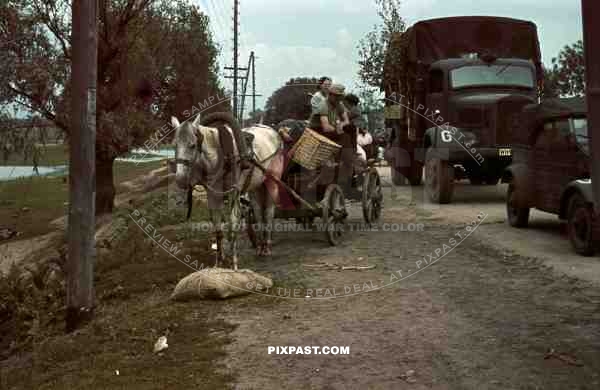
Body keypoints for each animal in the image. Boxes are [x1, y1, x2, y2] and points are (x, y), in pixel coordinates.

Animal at [172, 111, 284, 270]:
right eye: (174, 145)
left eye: (192, 145)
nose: (180, 179)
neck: (221, 155)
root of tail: (273, 132)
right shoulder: (213, 194)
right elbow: (218, 230)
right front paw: (218, 262)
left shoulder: (234, 192)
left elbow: (232, 228)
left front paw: (234, 264)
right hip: (256, 185)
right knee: (257, 210)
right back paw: (260, 246)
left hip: (271, 182)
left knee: (268, 211)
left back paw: (267, 246)